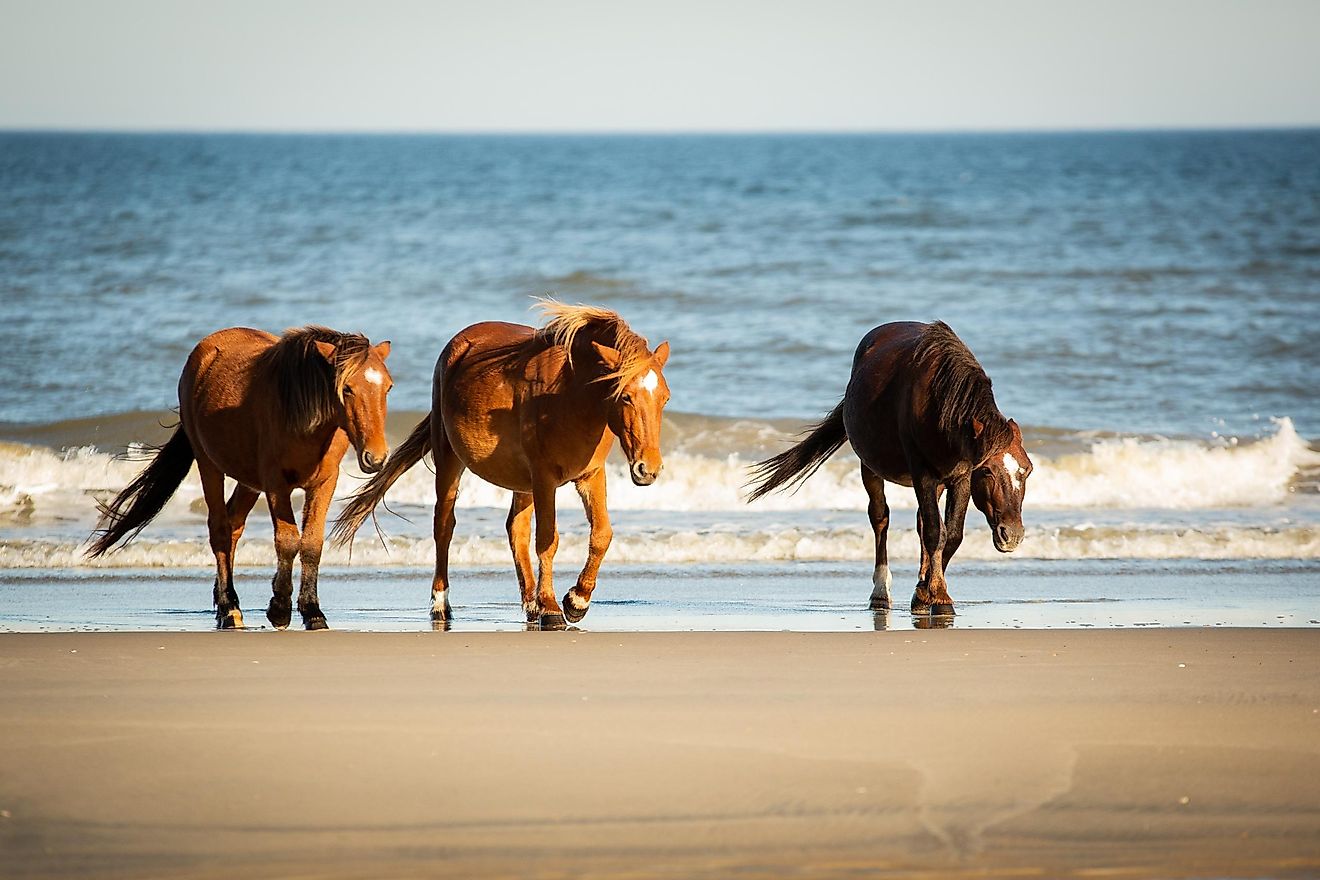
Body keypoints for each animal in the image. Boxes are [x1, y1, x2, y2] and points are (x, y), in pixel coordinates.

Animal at [88, 326, 393, 630]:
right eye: (347, 388)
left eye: (388, 387)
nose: (376, 458)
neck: (302, 416)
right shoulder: (275, 484)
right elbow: (287, 541)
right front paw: (279, 609)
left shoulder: (324, 483)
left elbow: (311, 544)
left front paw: (313, 612)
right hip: (209, 465)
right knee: (220, 530)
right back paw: (229, 608)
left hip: (248, 482)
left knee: (233, 526)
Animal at [333, 301, 670, 630]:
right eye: (625, 396)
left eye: (664, 398)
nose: (648, 469)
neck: (570, 395)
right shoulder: (545, 478)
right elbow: (548, 539)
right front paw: (552, 608)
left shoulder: (590, 475)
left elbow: (601, 534)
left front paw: (577, 601)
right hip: (451, 462)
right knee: (444, 526)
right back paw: (442, 604)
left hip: (523, 482)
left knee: (515, 530)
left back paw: (531, 604)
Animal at [747, 321, 1031, 616]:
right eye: (988, 472)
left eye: (1027, 470)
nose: (1012, 535)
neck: (939, 406)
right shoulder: (923, 474)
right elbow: (935, 533)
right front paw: (938, 596)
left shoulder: (960, 478)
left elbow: (950, 534)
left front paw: (927, 593)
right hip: (871, 468)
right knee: (880, 518)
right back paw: (881, 592)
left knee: (920, 523)